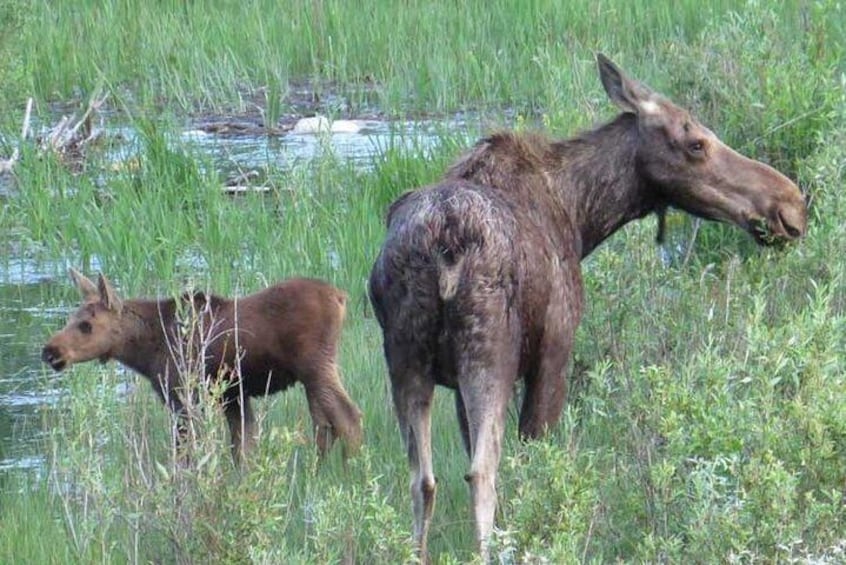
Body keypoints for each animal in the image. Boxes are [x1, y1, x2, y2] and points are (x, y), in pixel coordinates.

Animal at [44, 270, 362, 462]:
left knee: (348, 417)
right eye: (70, 318)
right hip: (316, 372)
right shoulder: (234, 395)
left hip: (315, 366)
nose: (49, 351)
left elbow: (186, 455)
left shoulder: (182, 395)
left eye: (86, 326)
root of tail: (341, 297)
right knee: (324, 424)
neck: (144, 351)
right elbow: (243, 449)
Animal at [370, 54, 808, 560]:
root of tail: (442, 246)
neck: (581, 216)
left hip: (405, 358)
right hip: (488, 355)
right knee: (481, 473)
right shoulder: (553, 355)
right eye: (696, 143)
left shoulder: (459, 385)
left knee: (422, 480)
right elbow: (535, 463)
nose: (790, 205)